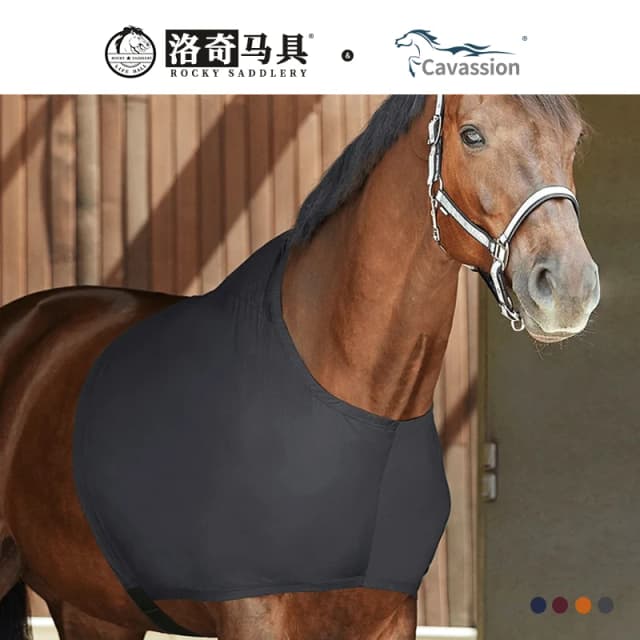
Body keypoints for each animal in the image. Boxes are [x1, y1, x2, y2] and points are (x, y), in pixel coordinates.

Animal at [0, 95, 600, 640]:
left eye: (574, 141)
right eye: (472, 135)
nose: (568, 287)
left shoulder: (389, 617)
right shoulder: (254, 615)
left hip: (95, 612)